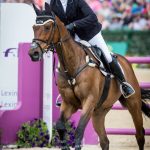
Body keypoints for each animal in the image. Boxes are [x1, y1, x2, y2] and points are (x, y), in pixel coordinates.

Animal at [29, 3, 150, 150]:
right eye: (34, 27)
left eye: (47, 27)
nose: (33, 53)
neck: (73, 65)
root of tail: (125, 61)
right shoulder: (69, 103)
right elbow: (60, 126)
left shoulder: (89, 101)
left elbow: (79, 131)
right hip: (99, 112)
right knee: (104, 141)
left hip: (133, 103)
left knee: (139, 134)